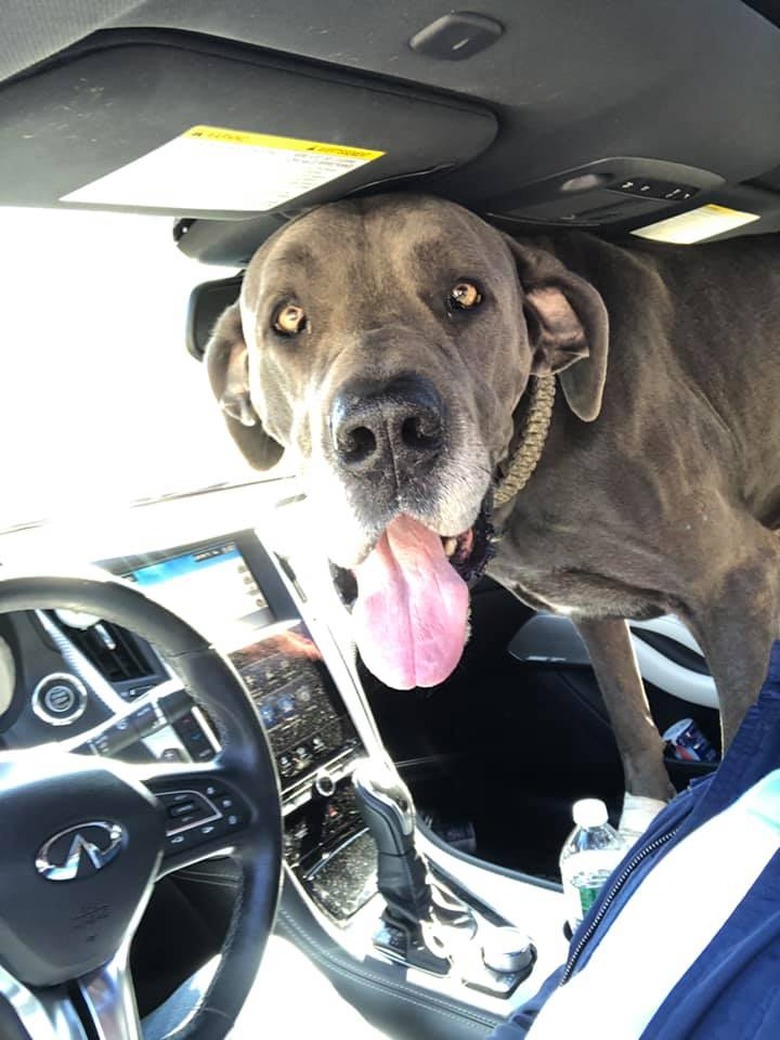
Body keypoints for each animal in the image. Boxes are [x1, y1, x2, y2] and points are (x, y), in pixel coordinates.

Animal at [205, 191, 780, 815]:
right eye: (288, 319)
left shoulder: (736, 584)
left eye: (465, 295)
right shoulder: (591, 613)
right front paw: (642, 814)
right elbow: (632, 721)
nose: (385, 430)